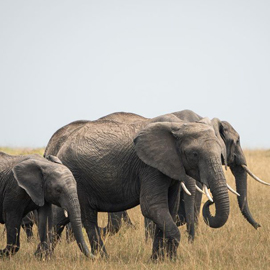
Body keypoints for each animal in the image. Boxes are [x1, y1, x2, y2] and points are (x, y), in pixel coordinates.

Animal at [44, 112, 230, 260]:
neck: (178, 126)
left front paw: (159, 260)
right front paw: (170, 259)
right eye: (194, 154)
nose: (210, 202)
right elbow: (152, 207)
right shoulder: (149, 167)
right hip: (77, 176)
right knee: (87, 218)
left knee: (63, 217)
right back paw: (102, 258)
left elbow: (169, 207)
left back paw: (44, 257)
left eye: (221, 154)